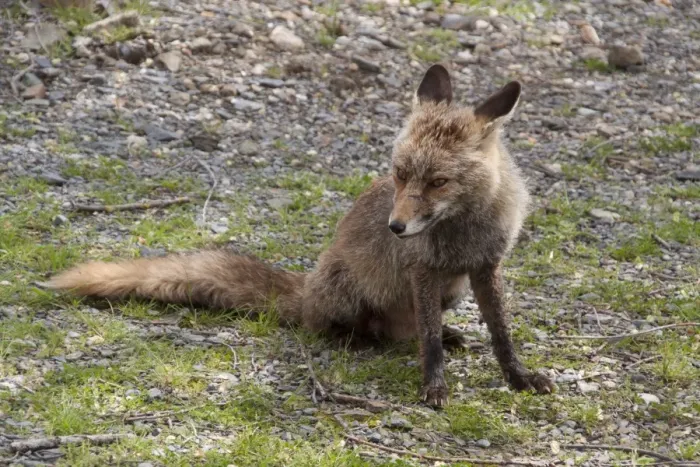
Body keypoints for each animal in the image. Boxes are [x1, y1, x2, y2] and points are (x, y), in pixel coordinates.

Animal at [47, 64, 555, 407]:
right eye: (398, 174)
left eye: (438, 182)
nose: (395, 228)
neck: (463, 230)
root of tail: (307, 289)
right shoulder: (423, 269)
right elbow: (427, 343)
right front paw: (434, 385)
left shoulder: (485, 266)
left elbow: (501, 335)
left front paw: (518, 378)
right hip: (349, 295)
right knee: (350, 328)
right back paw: (358, 338)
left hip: (452, 292)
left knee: (406, 331)